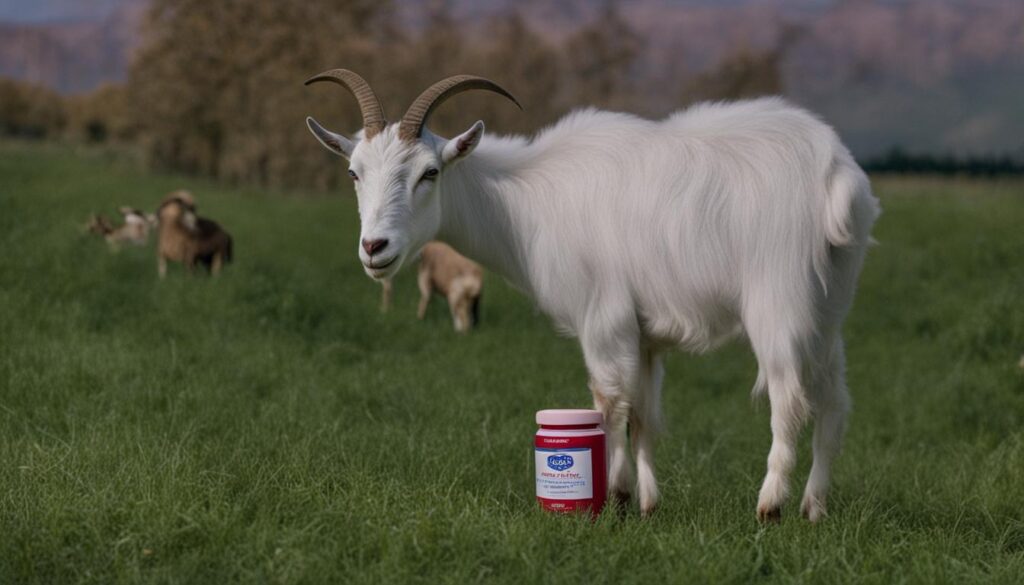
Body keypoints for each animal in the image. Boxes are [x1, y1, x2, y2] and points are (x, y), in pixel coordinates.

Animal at [305, 70, 880, 521]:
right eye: (354, 172)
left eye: (430, 172)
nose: (374, 248)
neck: (527, 200)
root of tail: (837, 175)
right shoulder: (646, 335)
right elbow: (644, 413)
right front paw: (647, 504)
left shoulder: (604, 318)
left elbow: (609, 403)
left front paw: (615, 499)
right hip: (828, 309)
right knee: (835, 403)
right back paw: (814, 507)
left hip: (778, 302)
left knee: (789, 399)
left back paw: (771, 505)